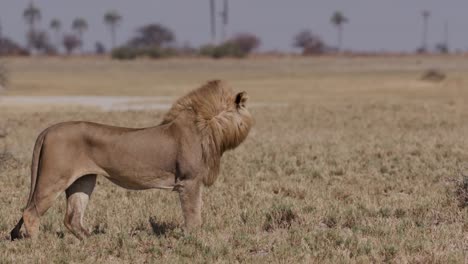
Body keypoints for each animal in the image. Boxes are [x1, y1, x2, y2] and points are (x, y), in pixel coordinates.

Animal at [10, 80, 252, 239]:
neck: (207, 126)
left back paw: (94, 241)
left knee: (72, 218)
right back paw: (38, 244)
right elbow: (193, 213)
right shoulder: (189, 181)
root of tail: (47, 130)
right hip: (53, 178)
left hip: (83, 180)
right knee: (30, 213)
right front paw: (194, 239)